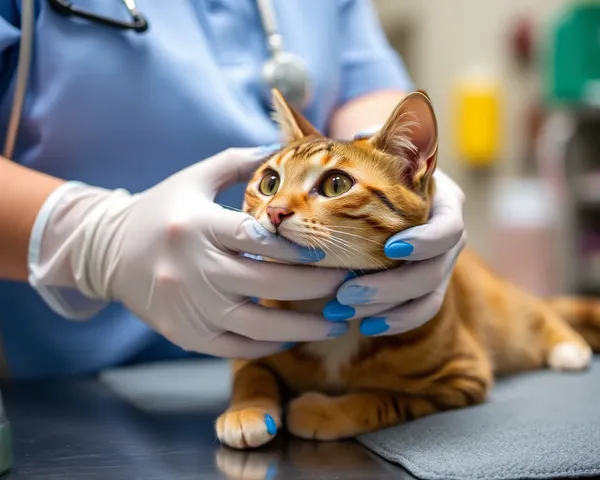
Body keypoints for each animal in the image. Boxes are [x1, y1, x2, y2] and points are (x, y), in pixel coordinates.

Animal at [213, 87, 596, 450]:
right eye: (269, 182)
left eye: (336, 184)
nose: (275, 211)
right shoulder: (257, 342)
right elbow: (250, 371)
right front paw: (246, 410)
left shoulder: (461, 379)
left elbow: (383, 398)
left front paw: (324, 411)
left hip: (507, 311)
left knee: (538, 312)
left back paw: (568, 346)